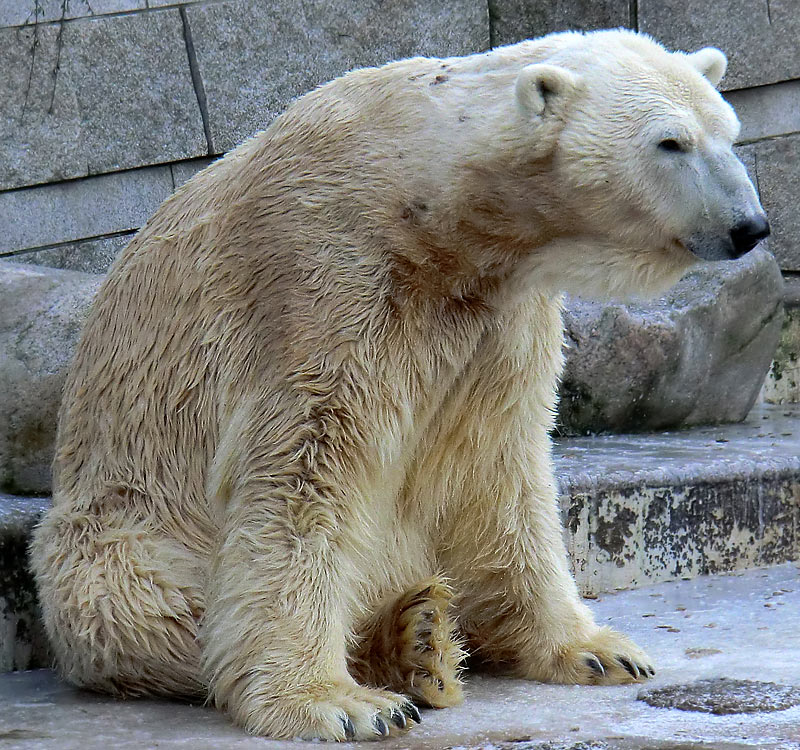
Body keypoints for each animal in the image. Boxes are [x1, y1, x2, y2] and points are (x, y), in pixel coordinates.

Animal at [31, 27, 768, 740]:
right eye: (670, 142)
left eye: (729, 132)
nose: (750, 227)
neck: (434, 212)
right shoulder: (327, 281)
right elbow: (302, 471)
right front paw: (335, 702)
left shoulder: (501, 312)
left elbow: (501, 468)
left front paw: (598, 650)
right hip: (120, 532)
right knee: (147, 603)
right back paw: (404, 645)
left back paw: (424, 636)